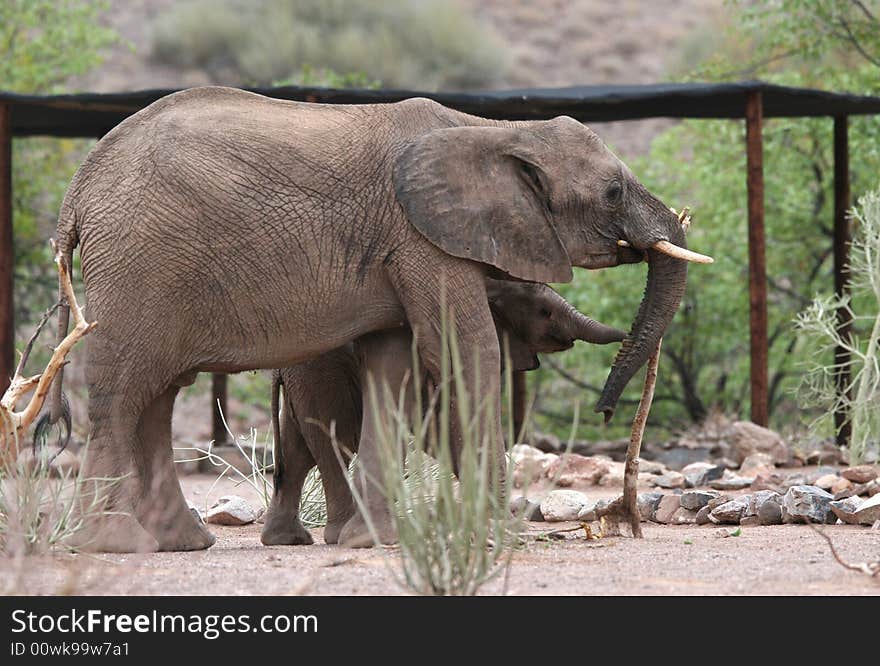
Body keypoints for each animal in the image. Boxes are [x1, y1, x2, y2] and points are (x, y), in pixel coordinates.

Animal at [262, 278, 624, 548]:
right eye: (544, 312)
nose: (604, 412)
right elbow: (437, 418)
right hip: (325, 372)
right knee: (337, 440)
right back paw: (340, 536)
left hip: (305, 377)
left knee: (299, 451)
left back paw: (287, 539)